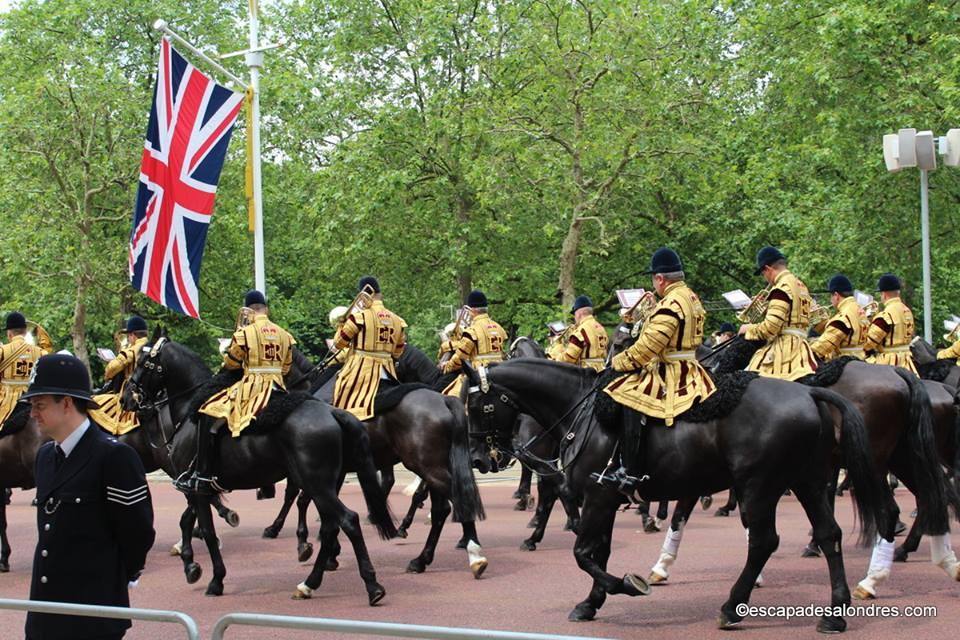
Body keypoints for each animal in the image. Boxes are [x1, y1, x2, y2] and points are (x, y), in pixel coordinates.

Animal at [121, 332, 398, 604]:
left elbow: (207, 531)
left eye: (143, 362)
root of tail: (333, 412)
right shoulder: (199, 488)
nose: (126, 400)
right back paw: (309, 583)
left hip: (317, 484)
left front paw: (214, 578)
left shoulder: (196, 487)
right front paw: (191, 565)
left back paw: (371, 586)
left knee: (347, 520)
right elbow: (189, 520)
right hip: (322, 485)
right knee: (330, 526)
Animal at [462, 358, 888, 632]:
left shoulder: (598, 496)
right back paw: (834, 613)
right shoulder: (607, 500)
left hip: (759, 486)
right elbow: (598, 552)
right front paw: (591, 602)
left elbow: (584, 553)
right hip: (807, 482)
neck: (582, 412)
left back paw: (732, 607)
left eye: (476, 404)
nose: (479, 458)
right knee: (828, 535)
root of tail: (809, 394)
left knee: (764, 541)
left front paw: (625, 585)